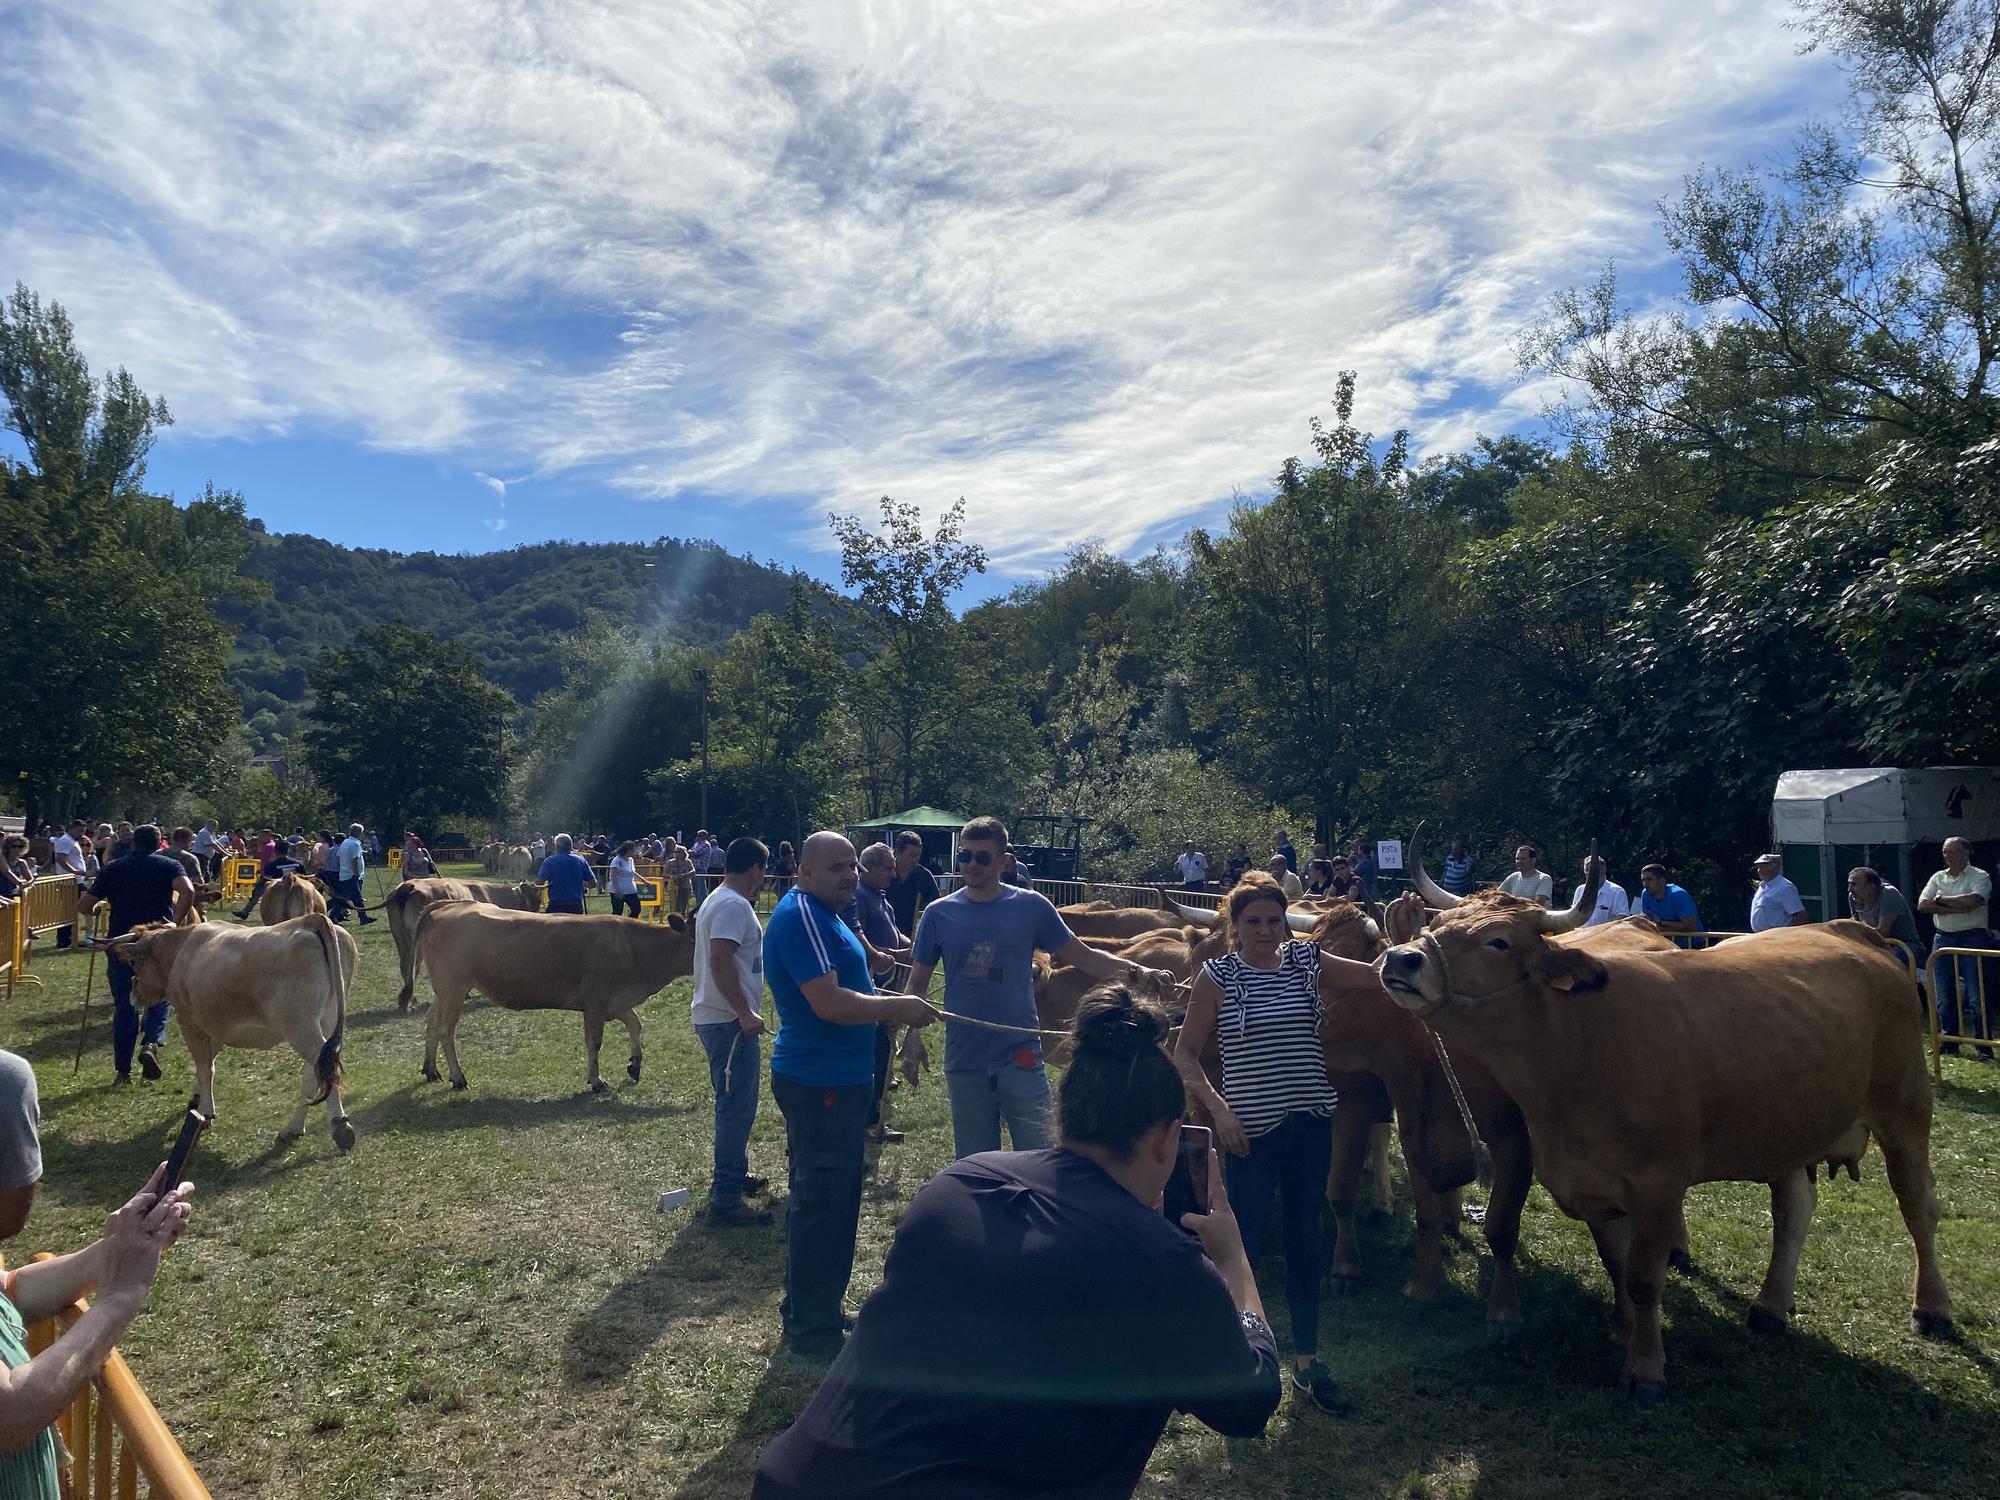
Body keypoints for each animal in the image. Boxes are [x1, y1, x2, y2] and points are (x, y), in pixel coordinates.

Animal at [384, 880, 548, 1012]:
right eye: (537, 900)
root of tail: (407, 886)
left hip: (400, 937)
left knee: (405, 966)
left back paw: (407, 999)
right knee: (413, 967)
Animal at [412, 904, 696, 1096]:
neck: (636, 950)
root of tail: (447, 906)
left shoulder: (616, 1002)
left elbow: (635, 1024)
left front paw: (634, 1065)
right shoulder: (596, 1002)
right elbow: (594, 1042)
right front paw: (596, 1081)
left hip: (445, 991)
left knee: (431, 1022)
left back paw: (431, 1069)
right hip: (453, 987)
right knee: (446, 1031)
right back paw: (458, 1078)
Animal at [1384, 876, 1944, 1408]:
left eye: (1497, 941)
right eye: (1444, 921)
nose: (1401, 957)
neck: (1573, 1043)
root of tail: (1852, 931)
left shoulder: (1657, 1186)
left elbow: (1643, 1278)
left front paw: (1646, 1369)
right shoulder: (1594, 1182)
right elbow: (1617, 1265)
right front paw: (1623, 1334)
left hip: (1906, 1110)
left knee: (1917, 1205)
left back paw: (1932, 1308)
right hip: (1789, 1128)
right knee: (1794, 1209)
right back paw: (1769, 1307)